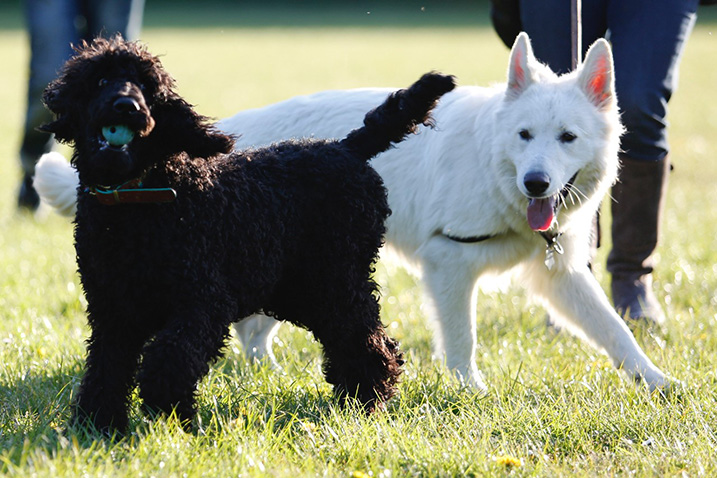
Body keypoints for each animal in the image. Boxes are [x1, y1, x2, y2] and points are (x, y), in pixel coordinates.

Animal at [35, 33, 672, 392]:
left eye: (567, 138)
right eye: (524, 135)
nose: (536, 181)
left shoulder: (558, 271)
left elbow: (614, 332)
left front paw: (658, 383)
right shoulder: (449, 264)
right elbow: (461, 340)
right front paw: (469, 390)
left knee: (256, 330)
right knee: (252, 330)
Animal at [40, 37, 454, 434]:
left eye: (147, 86)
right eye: (99, 81)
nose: (126, 106)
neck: (138, 200)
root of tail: (347, 147)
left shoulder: (203, 301)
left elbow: (170, 357)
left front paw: (170, 409)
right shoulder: (113, 311)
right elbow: (106, 369)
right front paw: (98, 425)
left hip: (334, 280)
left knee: (368, 341)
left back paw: (367, 399)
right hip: (301, 290)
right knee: (360, 339)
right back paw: (356, 397)